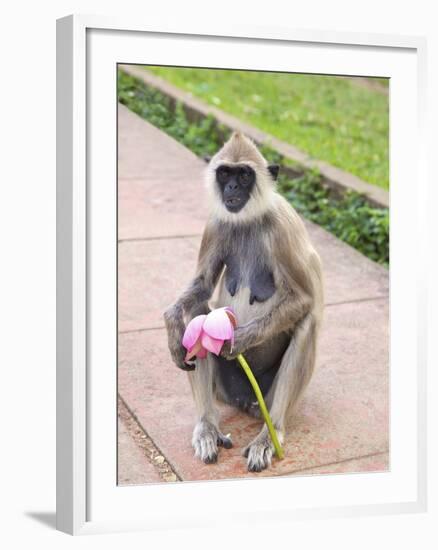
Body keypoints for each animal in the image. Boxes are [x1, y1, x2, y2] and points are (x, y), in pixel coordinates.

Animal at [163, 132, 324, 472]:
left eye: (244, 175)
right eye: (225, 173)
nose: (233, 189)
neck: (250, 219)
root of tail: (245, 400)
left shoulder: (282, 224)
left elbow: (303, 299)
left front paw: (236, 341)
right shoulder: (216, 224)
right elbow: (202, 287)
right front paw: (171, 323)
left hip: (267, 394)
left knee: (307, 322)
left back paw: (270, 433)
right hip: (224, 390)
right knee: (197, 313)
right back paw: (207, 426)